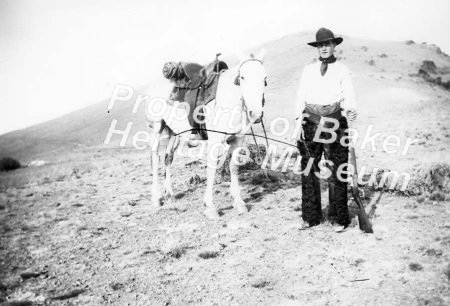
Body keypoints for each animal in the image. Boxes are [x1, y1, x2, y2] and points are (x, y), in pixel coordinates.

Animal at [146, 49, 268, 220]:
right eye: (242, 77)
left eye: (264, 78)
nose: (255, 114)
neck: (228, 99)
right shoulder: (215, 141)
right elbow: (211, 169)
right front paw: (210, 207)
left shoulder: (238, 139)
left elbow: (233, 167)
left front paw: (238, 202)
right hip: (156, 128)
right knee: (155, 158)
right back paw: (156, 199)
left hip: (174, 133)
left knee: (167, 159)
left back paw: (170, 195)